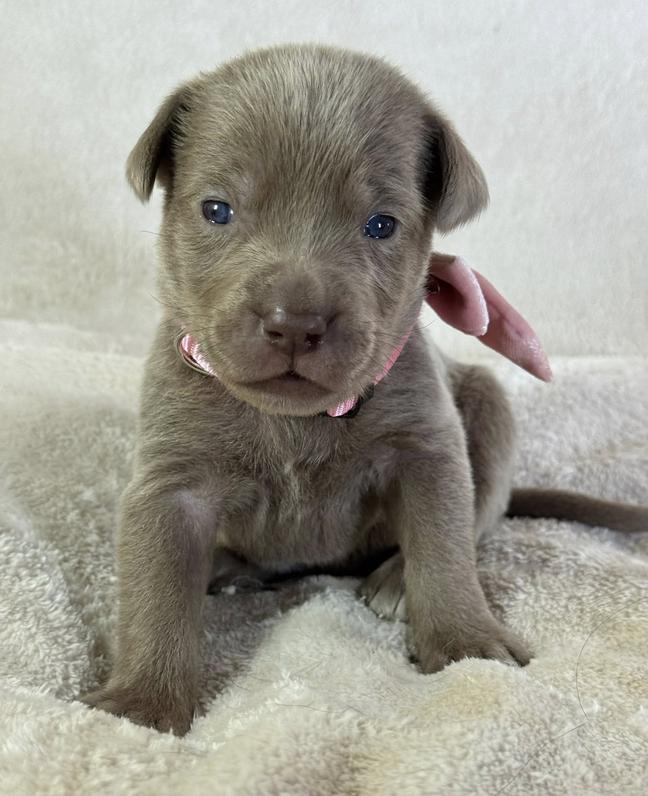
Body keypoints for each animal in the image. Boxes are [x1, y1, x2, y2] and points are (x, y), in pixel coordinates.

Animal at [83, 44, 647, 735]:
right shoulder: (171, 482)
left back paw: (395, 579)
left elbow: (443, 548)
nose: (295, 322)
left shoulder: (427, 449)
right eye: (217, 209)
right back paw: (226, 566)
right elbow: (156, 593)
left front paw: (467, 643)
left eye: (381, 224)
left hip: (489, 409)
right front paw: (142, 704)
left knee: (477, 519)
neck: (297, 419)